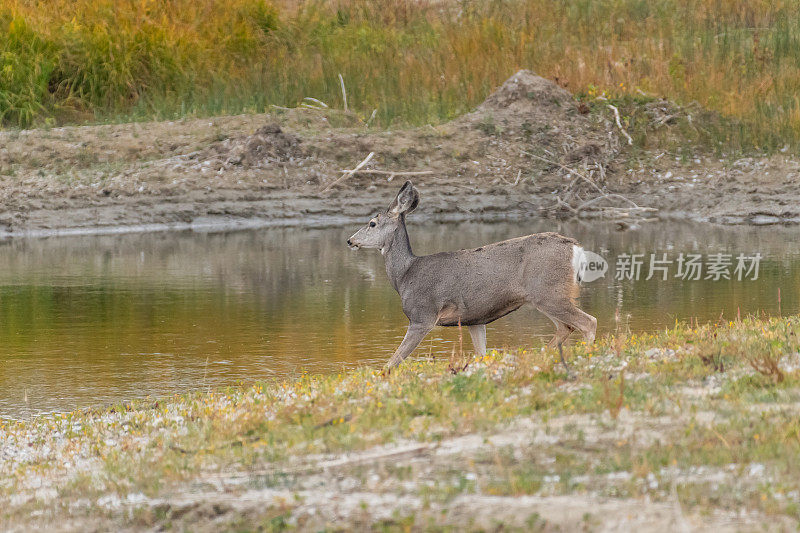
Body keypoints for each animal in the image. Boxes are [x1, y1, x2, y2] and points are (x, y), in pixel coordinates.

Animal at [346, 181, 596, 372]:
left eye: (372, 223)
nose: (350, 240)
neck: (405, 276)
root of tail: (576, 248)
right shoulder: (475, 320)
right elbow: (481, 354)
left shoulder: (422, 315)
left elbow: (392, 362)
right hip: (546, 296)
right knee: (566, 327)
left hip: (548, 292)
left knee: (588, 322)